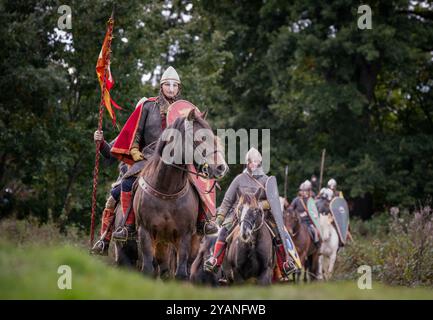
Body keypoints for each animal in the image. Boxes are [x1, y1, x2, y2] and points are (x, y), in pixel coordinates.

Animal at [132, 109, 226, 278]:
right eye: (201, 138)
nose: (221, 167)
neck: (166, 189)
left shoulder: (185, 236)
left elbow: (181, 272)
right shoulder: (145, 232)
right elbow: (148, 269)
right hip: (161, 242)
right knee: (163, 270)